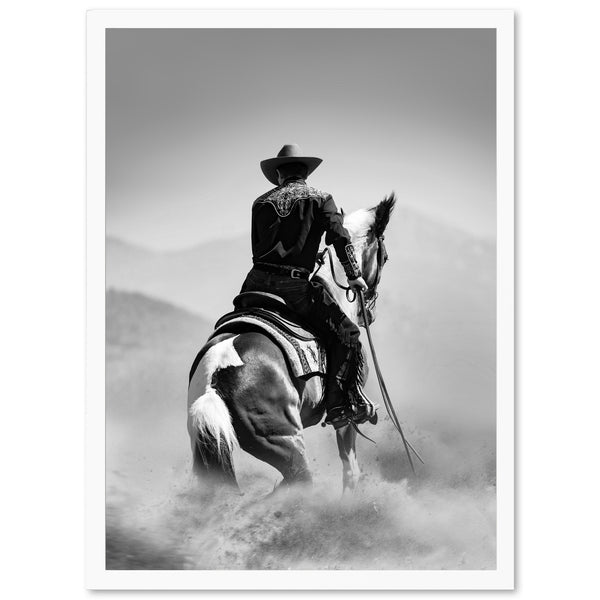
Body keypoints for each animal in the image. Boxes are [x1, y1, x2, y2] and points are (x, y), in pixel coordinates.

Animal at [186, 195, 394, 490]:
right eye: (384, 257)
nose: (370, 310)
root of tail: (214, 379)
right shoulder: (346, 416)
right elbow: (351, 470)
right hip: (285, 443)